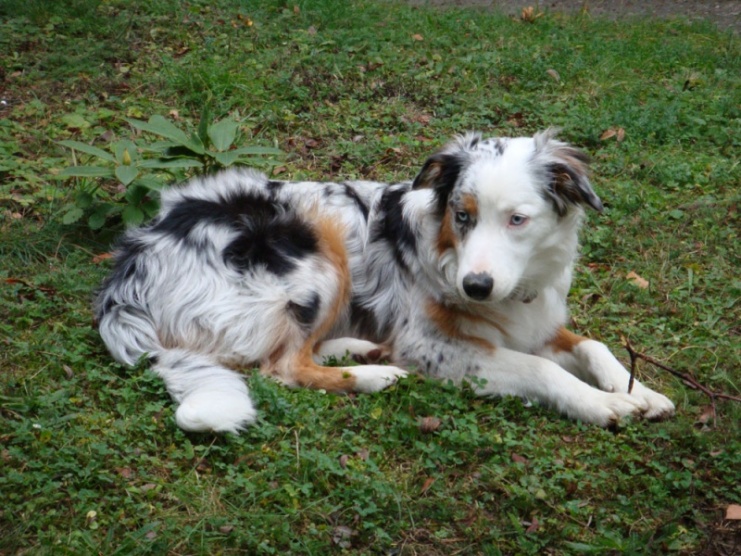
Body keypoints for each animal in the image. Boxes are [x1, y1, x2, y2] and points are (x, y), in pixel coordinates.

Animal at [94, 129, 675, 433]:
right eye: (462, 215)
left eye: (517, 219)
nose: (475, 287)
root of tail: (130, 271)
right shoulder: (431, 346)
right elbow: (540, 369)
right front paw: (604, 405)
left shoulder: (536, 321)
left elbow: (594, 344)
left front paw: (641, 390)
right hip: (320, 252)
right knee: (282, 368)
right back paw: (375, 375)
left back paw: (360, 351)